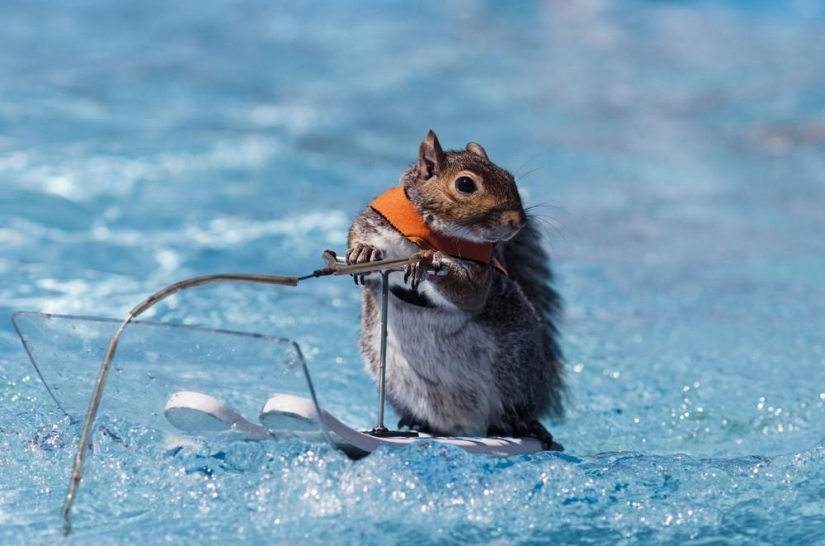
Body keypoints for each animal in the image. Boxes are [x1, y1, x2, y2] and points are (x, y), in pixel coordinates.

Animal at [346, 130, 564, 449]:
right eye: (465, 184)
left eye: (509, 177)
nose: (518, 222)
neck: (429, 235)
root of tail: (460, 425)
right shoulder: (372, 224)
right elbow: (358, 241)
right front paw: (363, 251)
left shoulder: (481, 276)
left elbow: (468, 294)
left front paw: (430, 261)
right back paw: (417, 422)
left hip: (516, 372)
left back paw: (527, 426)